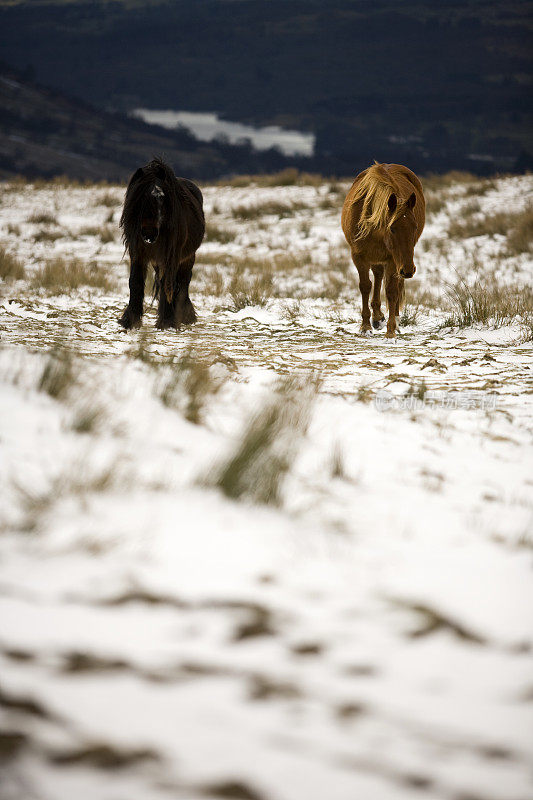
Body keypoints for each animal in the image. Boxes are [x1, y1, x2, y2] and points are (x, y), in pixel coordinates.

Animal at [118, 158, 204, 330]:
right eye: (141, 197)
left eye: (163, 199)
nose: (149, 234)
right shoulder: (137, 254)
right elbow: (135, 282)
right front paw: (130, 320)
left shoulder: (170, 257)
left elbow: (168, 284)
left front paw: (167, 321)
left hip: (188, 257)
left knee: (183, 282)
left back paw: (185, 316)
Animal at [340, 162, 424, 338]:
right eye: (392, 228)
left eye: (415, 227)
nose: (409, 270)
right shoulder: (358, 256)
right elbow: (365, 286)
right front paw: (366, 326)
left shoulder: (393, 259)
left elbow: (392, 291)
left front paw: (391, 331)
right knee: (378, 275)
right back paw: (377, 317)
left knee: (394, 284)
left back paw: (393, 321)